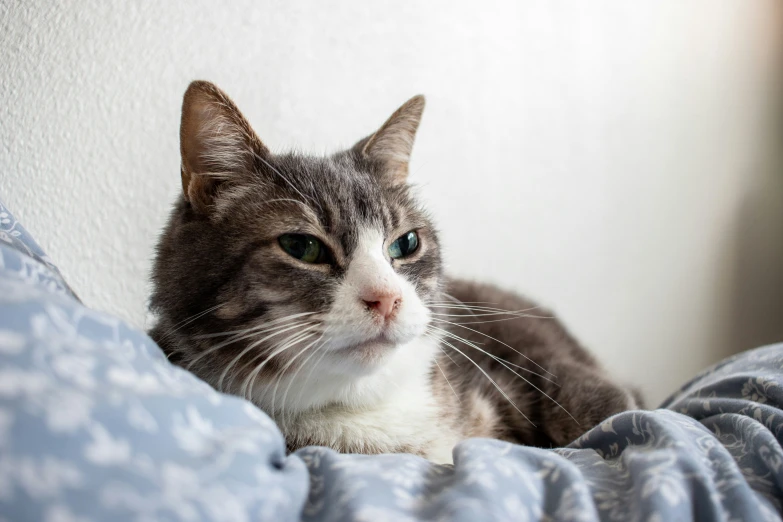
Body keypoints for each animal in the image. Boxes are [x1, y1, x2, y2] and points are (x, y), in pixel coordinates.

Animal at [150, 81, 640, 464]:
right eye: (302, 246)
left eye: (405, 243)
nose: (386, 297)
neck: (363, 408)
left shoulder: (526, 356)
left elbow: (601, 409)